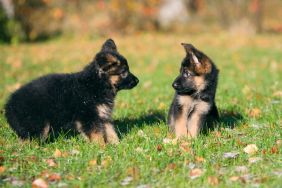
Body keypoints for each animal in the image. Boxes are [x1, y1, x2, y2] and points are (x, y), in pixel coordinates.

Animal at [4, 38, 139, 144]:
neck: (97, 84)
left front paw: (116, 146)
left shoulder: (103, 115)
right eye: (124, 72)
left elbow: (110, 131)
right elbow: (97, 134)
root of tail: (8, 105)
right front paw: (102, 147)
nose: (138, 81)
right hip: (38, 124)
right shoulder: (89, 116)